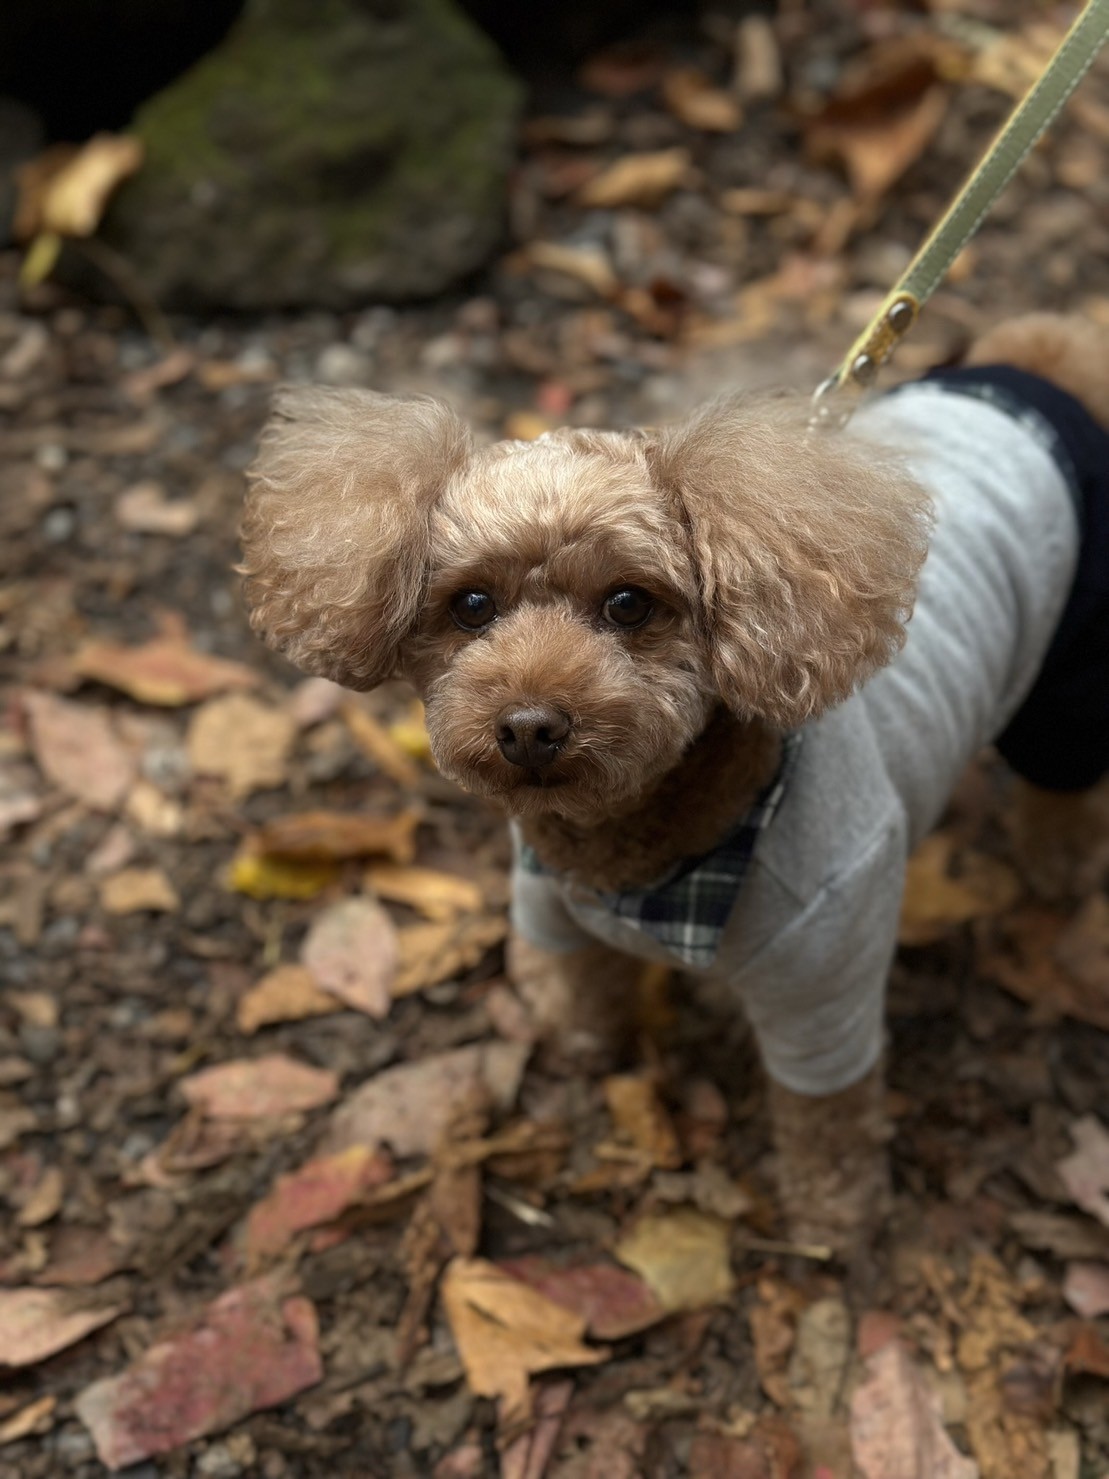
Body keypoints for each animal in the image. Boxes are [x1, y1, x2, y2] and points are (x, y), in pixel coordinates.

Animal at [242, 315, 1109, 1260]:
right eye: (470, 605)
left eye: (629, 603)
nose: (529, 726)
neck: (644, 863)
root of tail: (1037, 359)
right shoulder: (552, 901)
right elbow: (588, 988)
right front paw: (584, 1050)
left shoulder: (825, 980)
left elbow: (828, 1121)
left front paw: (835, 1228)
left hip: (1070, 673)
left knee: (1061, 782)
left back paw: (1059, 866)